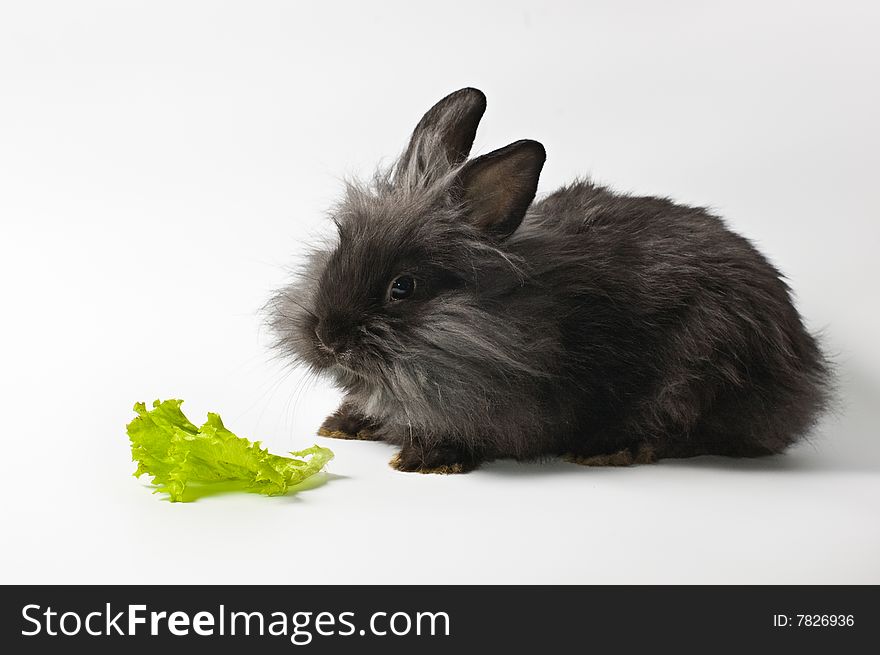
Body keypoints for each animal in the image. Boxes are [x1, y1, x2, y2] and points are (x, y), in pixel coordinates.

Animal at [266, 89, 824, 474]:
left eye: (402, 288)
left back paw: (608, 449)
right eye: (337, 250)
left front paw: (424, 459)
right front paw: (343, 425)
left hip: (705, 366)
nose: (327, 339)